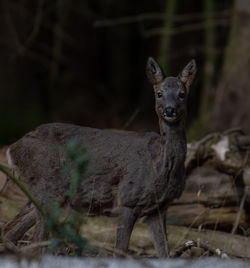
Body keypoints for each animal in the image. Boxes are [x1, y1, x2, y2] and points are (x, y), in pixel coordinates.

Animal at [2, 57, 196, 258]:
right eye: (159, 93)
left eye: (182, 94)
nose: (170, 110)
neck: (159, 165)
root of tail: (12, 149)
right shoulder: (128, 199)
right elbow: (120, 251)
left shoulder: (159, 208)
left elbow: (164, 252)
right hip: (47, 188)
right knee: (35, 241)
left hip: (44, 195)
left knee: (11, 231)